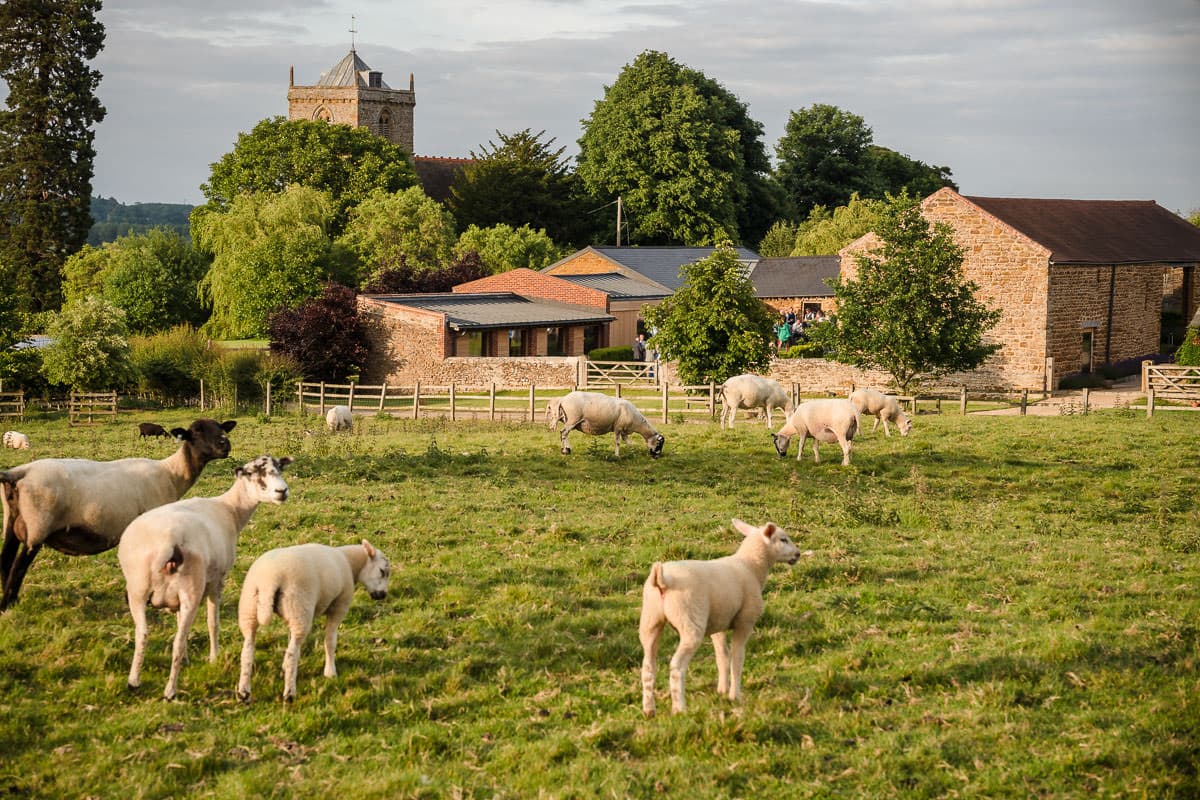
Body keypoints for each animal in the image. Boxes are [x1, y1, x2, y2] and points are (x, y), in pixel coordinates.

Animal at [0, 418, 236, 611]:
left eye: (220, 428)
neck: (171, 474)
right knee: (18, 566)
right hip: (37, 527)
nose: (225, 445)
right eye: (196, 432)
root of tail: (19, 473)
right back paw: (8, 604)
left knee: (6, 559)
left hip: (12, 522)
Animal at [118, 454, 292, 700]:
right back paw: (170, 691)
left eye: (279, 468)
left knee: (142, 634)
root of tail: (167, 543)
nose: (282, 491)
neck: (231, 510)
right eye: (252, 473)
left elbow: (179, 621)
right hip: (192, 588)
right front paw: (214, 658)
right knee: (177, 641)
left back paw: (134, 681)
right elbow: (213, 622)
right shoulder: (216, 581)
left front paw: (187, 660)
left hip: (137, 590)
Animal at [236, 539, 390, 703]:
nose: (383, 595)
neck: (349, 561)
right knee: (291, 654)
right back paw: (289, 693)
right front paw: (330, 672)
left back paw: (243, 692)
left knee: (247, 651)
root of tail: (270, 580)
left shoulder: (291, 617)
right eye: (382, 571)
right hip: (299, 606)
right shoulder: (339, 606)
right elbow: (330, 641)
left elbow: (290, 638)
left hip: (252, 608)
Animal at [639, 518, 800, 716]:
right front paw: (735, 696)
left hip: (650, 620)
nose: (798, 554)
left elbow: (722, 656)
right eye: (783, 539)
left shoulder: (718, 622)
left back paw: (649, 710)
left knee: (648, 667)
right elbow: (738, 658)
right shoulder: (745, 621)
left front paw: (722, 691)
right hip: (690, 621)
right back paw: (679, 709)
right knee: (677, 666)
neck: (751, 566)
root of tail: (663, 581)